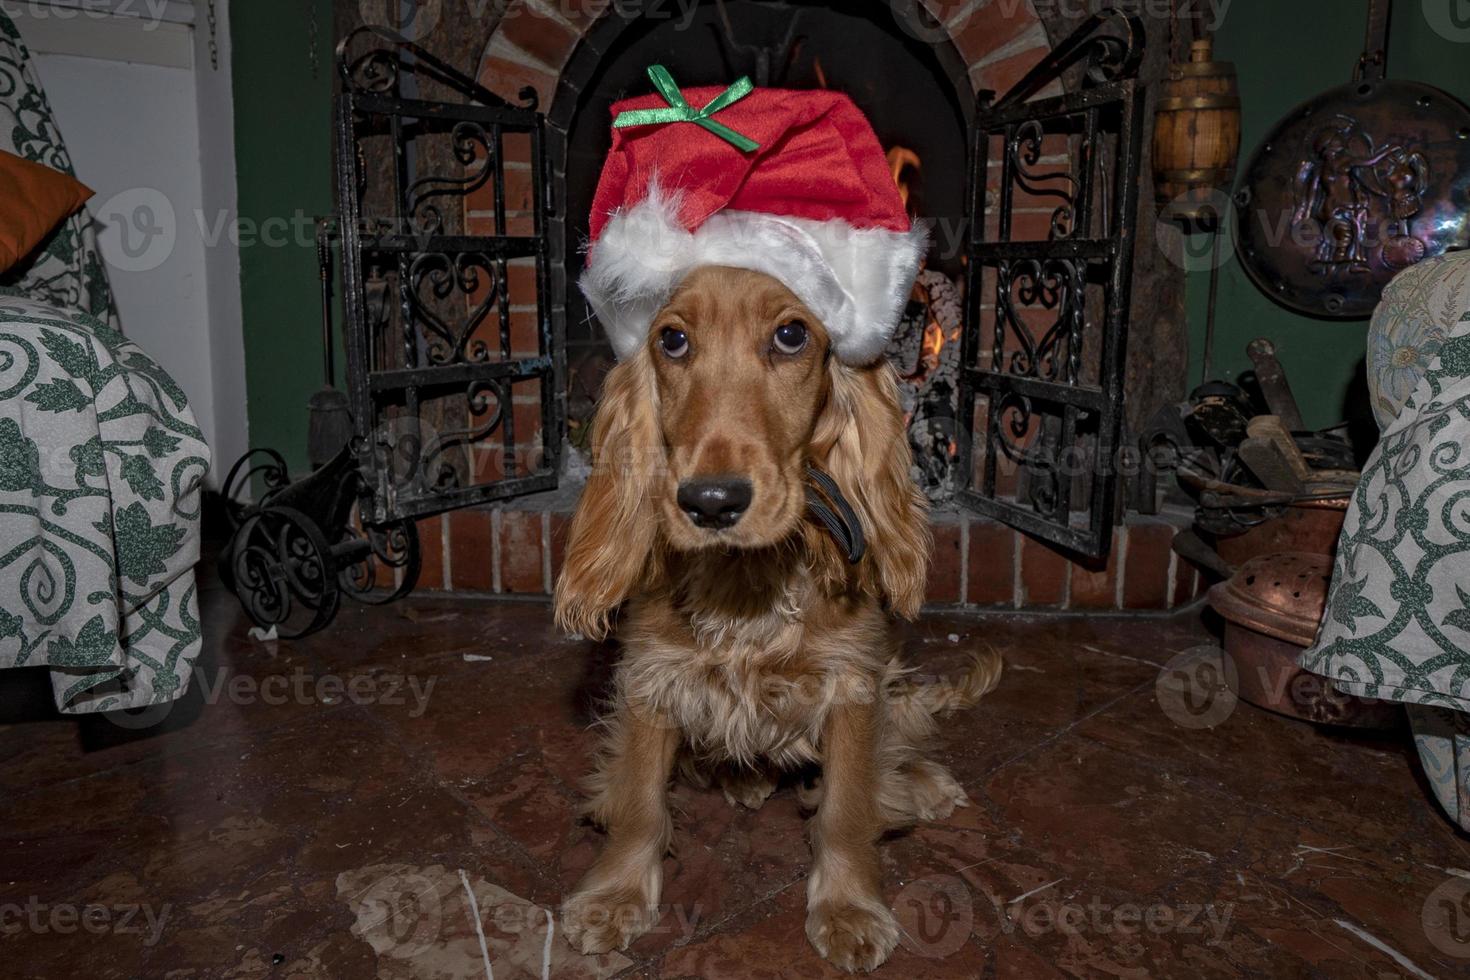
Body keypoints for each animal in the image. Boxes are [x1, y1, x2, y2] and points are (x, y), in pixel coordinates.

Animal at [552, 262, 999, 975]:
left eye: (791, 335)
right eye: (672, 339)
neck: (748, 584)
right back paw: (745, 781)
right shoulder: (651, 679)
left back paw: (923, 783)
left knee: (901, 735)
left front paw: (848, 908)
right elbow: (639, 801)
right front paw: (615, 896)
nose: (711, 502)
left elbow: (847, 806)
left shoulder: (852, 682)